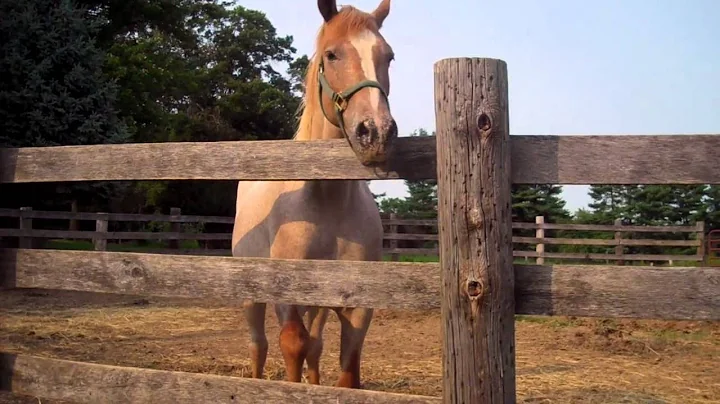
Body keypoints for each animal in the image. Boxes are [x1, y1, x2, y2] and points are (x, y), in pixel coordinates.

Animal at [231, 0, 396, 388]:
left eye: (388, 56)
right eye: (331, 54)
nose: (377, 133)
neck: (326, 203)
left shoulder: (358, 305)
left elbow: (346, 367)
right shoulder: (286, 298)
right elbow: (293, 349)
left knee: (316, 346)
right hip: (250, 297)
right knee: (259, 346)